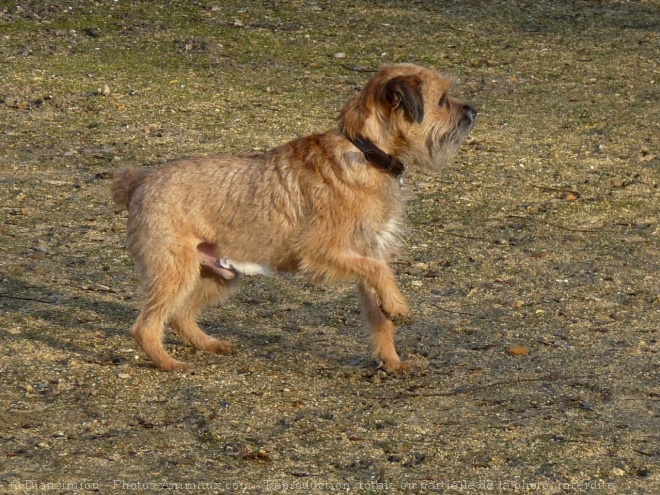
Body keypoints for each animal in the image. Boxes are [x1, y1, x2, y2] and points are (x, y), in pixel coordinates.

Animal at [112, 64, 474, 372]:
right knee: (146, 325)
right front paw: (399, 307)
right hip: (175, 271)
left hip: (219, 275)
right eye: (442, 100)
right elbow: (380, 272)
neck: (365, 151)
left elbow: (379, 313)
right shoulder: (324, 252)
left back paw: (209, 344)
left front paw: (393, 360)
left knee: (181, 316)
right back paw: (168, 363)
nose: (473, 111)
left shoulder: (365, 254)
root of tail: (139, 182)